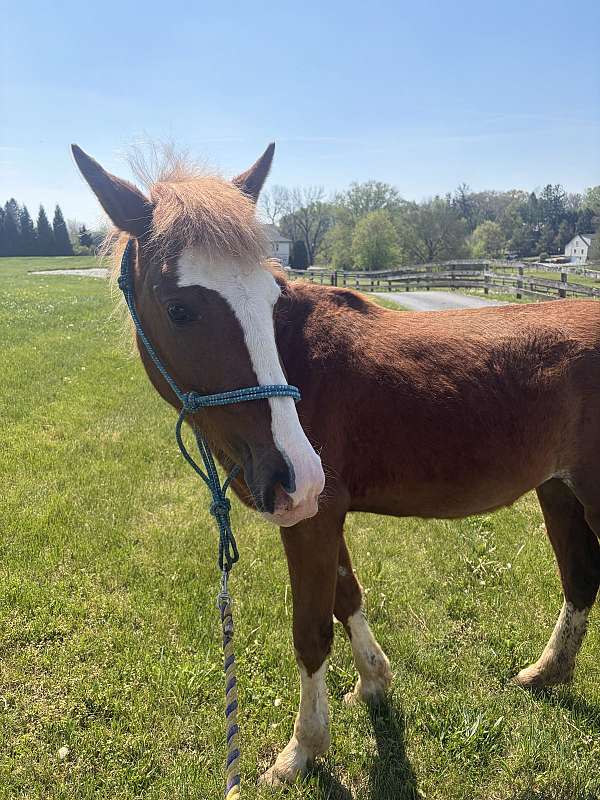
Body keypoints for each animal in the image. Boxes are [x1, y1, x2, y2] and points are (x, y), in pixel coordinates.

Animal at [72, 142, 600, 786]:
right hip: (560, 491)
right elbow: (347, 597)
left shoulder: (311, 516)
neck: (299, 358)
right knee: (581, 578)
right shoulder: (323, 513)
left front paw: (302, 749)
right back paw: (546, 674)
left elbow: (312, 629)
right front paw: (373, 682)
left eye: (270, 297)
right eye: (178, 309)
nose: (292, 473)